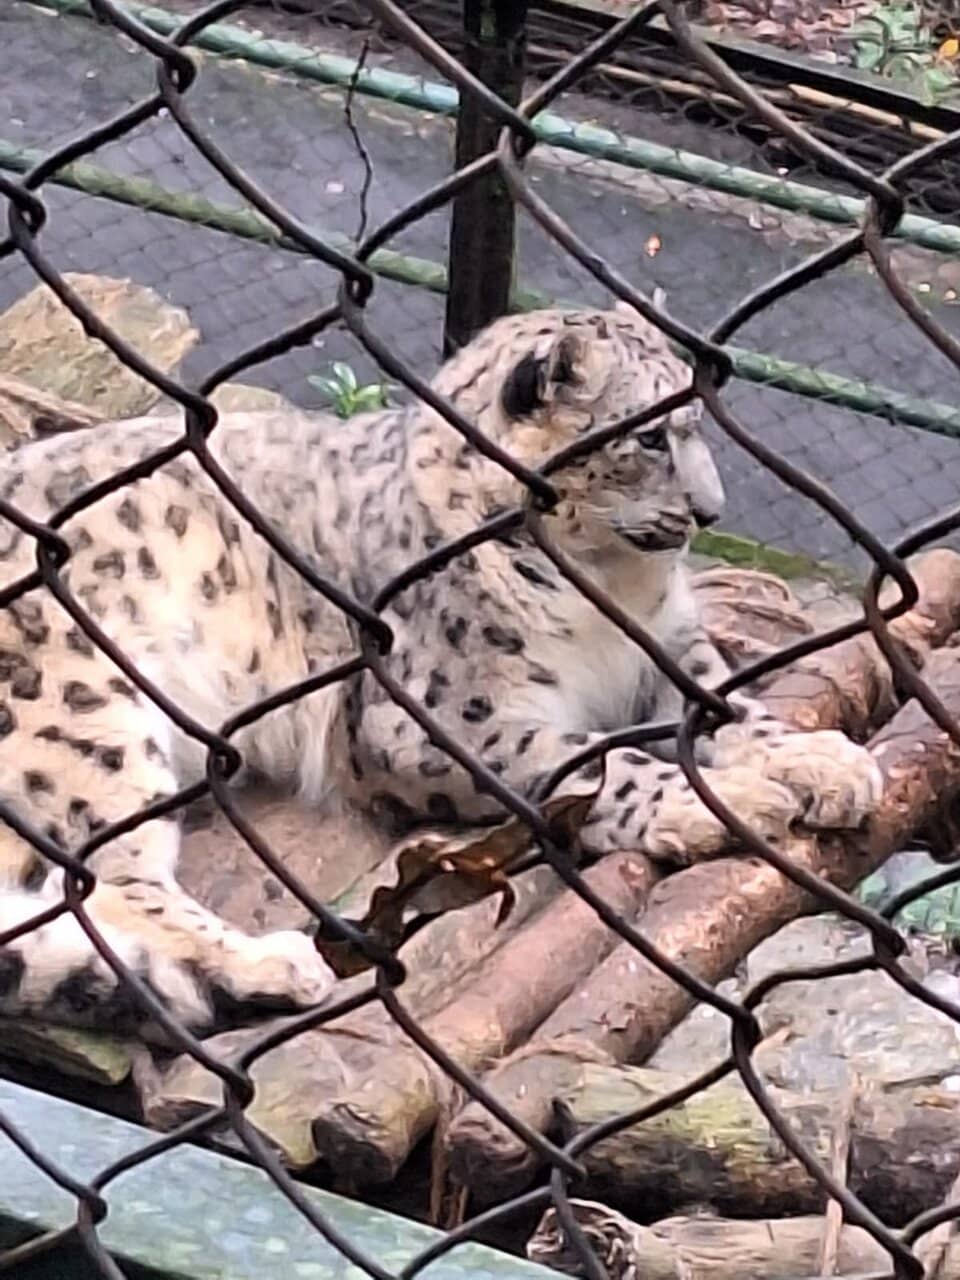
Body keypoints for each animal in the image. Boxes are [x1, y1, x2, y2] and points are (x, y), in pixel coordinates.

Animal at [0, 302, 881, 1036]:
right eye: (649, 438)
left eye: (696, 427)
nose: (709, 512)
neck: (611, 586)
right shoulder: (441, 717)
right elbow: (596, 761)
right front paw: (721, 802)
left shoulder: (667, 650)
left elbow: (725, 707)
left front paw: (822, 763)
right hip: (87, 719)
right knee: (111, 880)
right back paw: (271, 967)